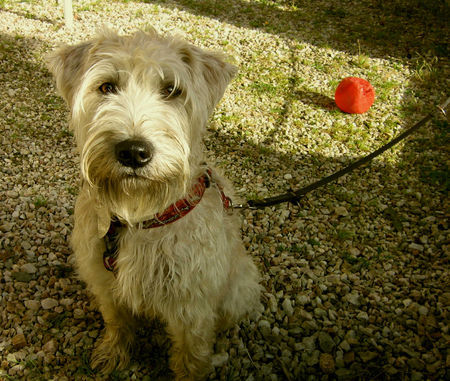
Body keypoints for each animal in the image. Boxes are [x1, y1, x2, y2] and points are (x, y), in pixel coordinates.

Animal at [46, 28, 260, 378]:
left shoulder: (192, 306)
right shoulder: (105, 282)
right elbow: (117, 322)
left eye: (171, 90)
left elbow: (191, 355)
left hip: (239, 288)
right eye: (106, 87)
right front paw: (113, 354)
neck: (141, 216)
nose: (134, 151)